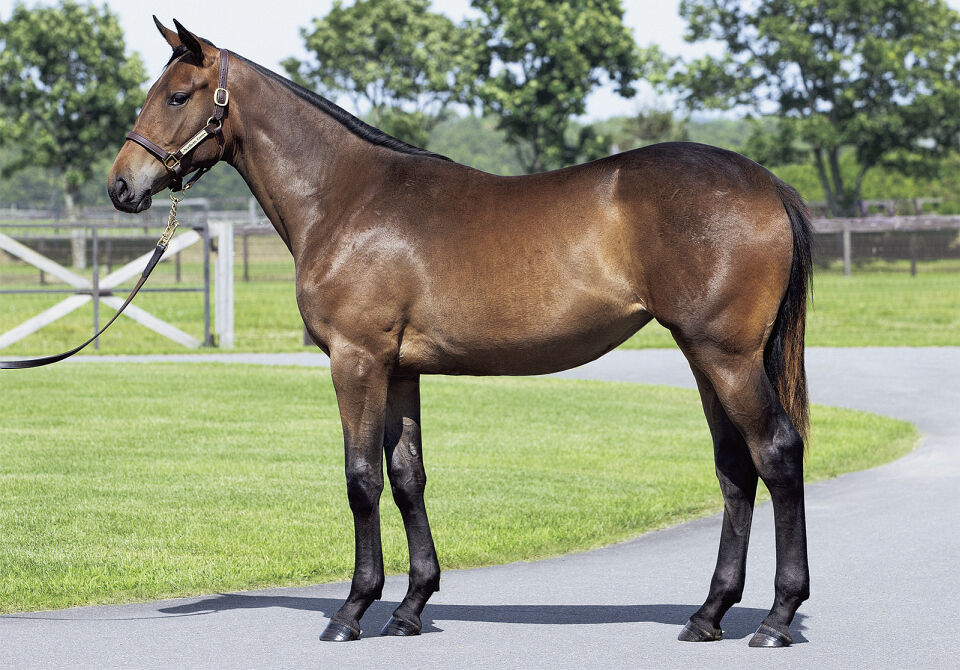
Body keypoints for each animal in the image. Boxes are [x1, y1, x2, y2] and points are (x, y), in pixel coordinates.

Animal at [109, 19, 812, 648]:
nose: (121, 185)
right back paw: (709, 615)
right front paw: (410, 608)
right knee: (734, 469)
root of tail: (765, 182)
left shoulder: (356, 361)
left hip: (727, 357)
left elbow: (361, 479)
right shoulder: (399, 370)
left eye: (177, 96)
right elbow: (407, 478)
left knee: (776, 453)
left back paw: (776, 619)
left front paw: (352, 610)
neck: (348, 199)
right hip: (705, 358)